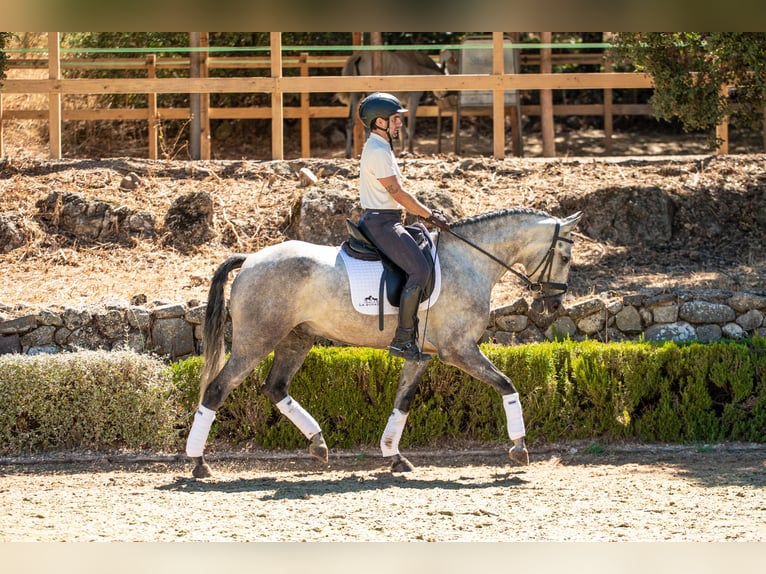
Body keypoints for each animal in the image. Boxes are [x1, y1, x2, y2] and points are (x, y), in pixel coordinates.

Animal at [186, 209, 584, 480]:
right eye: (565, 258)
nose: (553, 307)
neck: (469, 261)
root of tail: (251, 258)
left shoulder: (423, 355)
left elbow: (402, 401)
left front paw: (394, 456)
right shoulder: (459, 350)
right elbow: (507, 384)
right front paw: (519, 448)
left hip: (297, 338)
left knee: (275, 387)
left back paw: (318, 444)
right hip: (256, 341)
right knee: (218, 389)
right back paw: (198, 462)